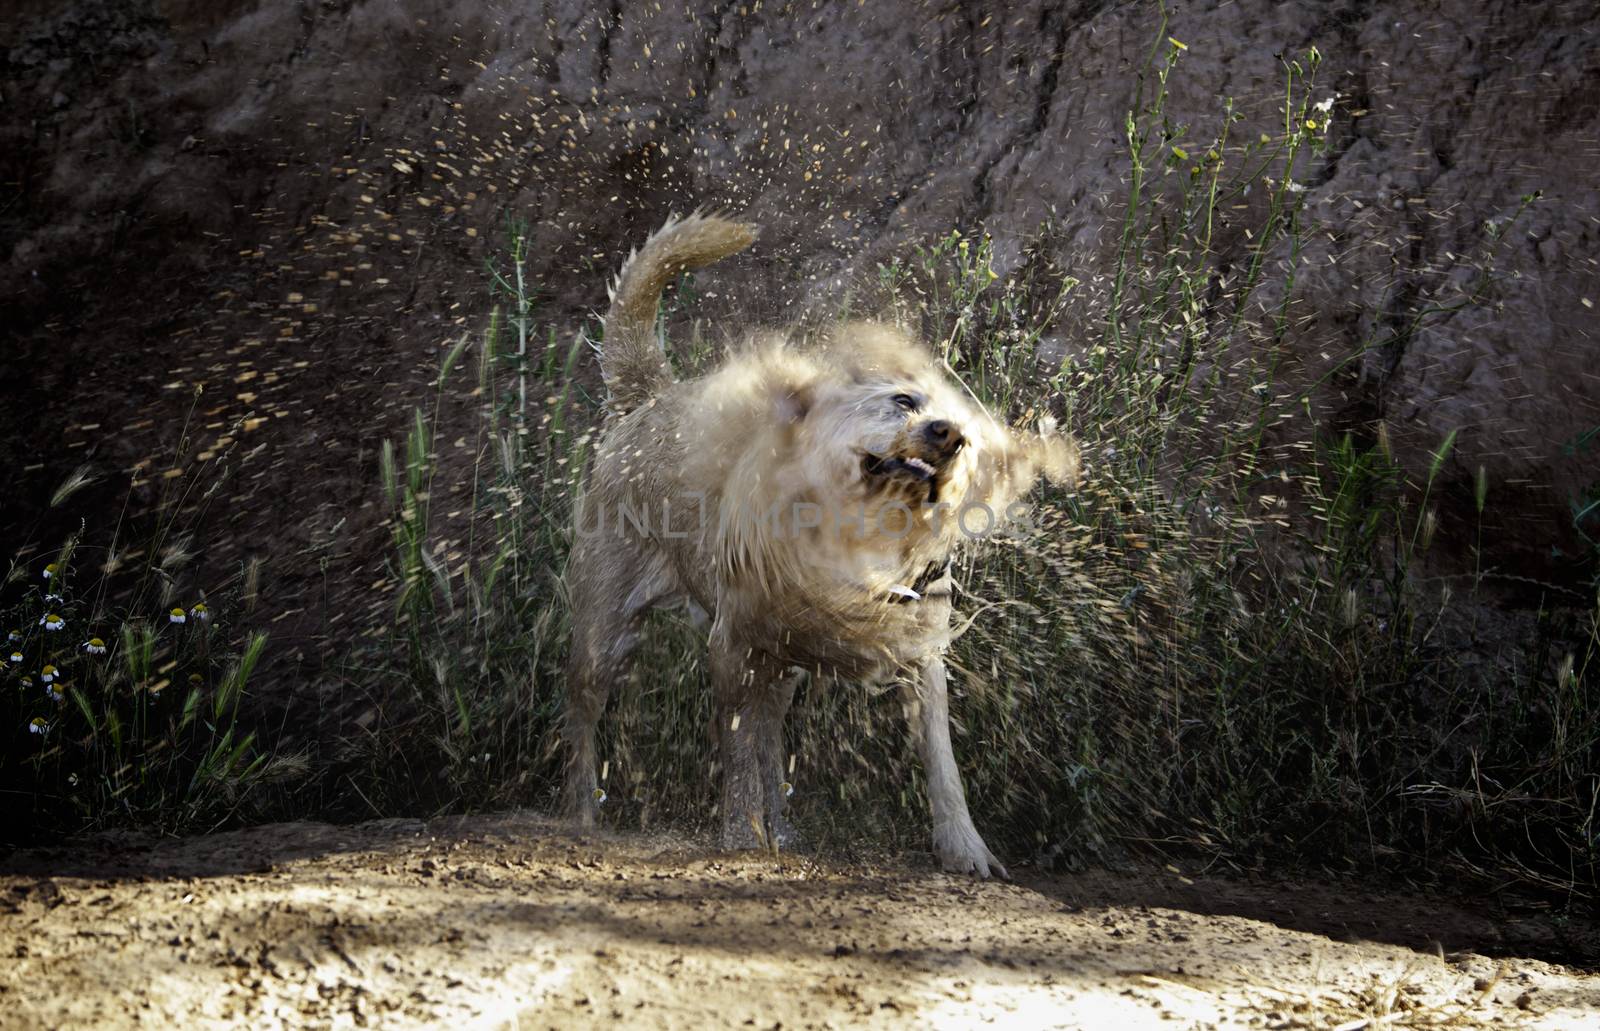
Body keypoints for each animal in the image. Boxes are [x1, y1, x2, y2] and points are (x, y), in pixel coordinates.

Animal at [560, 211, 1075, 877]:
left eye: (968, 431)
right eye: (902, 400)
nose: (949, 434)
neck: (861, 538)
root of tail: (652, 396)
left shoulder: (919, 653)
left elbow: (943, 769)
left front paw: (967, 849)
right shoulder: (733, 645)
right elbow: (736, 756)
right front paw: (740, 835)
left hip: (781, 669)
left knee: (769, 733)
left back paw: (783, 829)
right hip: (605, 636)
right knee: (584, 721)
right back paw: (580, 815)